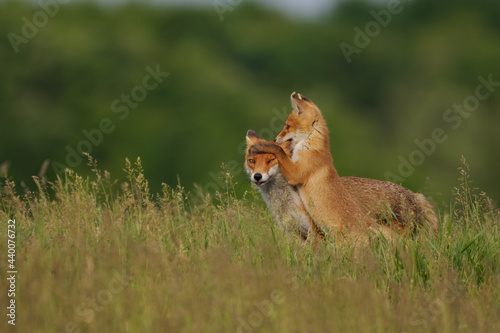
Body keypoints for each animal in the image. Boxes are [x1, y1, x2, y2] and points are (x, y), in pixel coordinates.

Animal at [250, 91, 438, 236]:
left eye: (287, 126)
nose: (275, 138)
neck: (312, 146)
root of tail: (413, 195)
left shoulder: (296, 173)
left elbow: (280, 152)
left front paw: (265, 146)